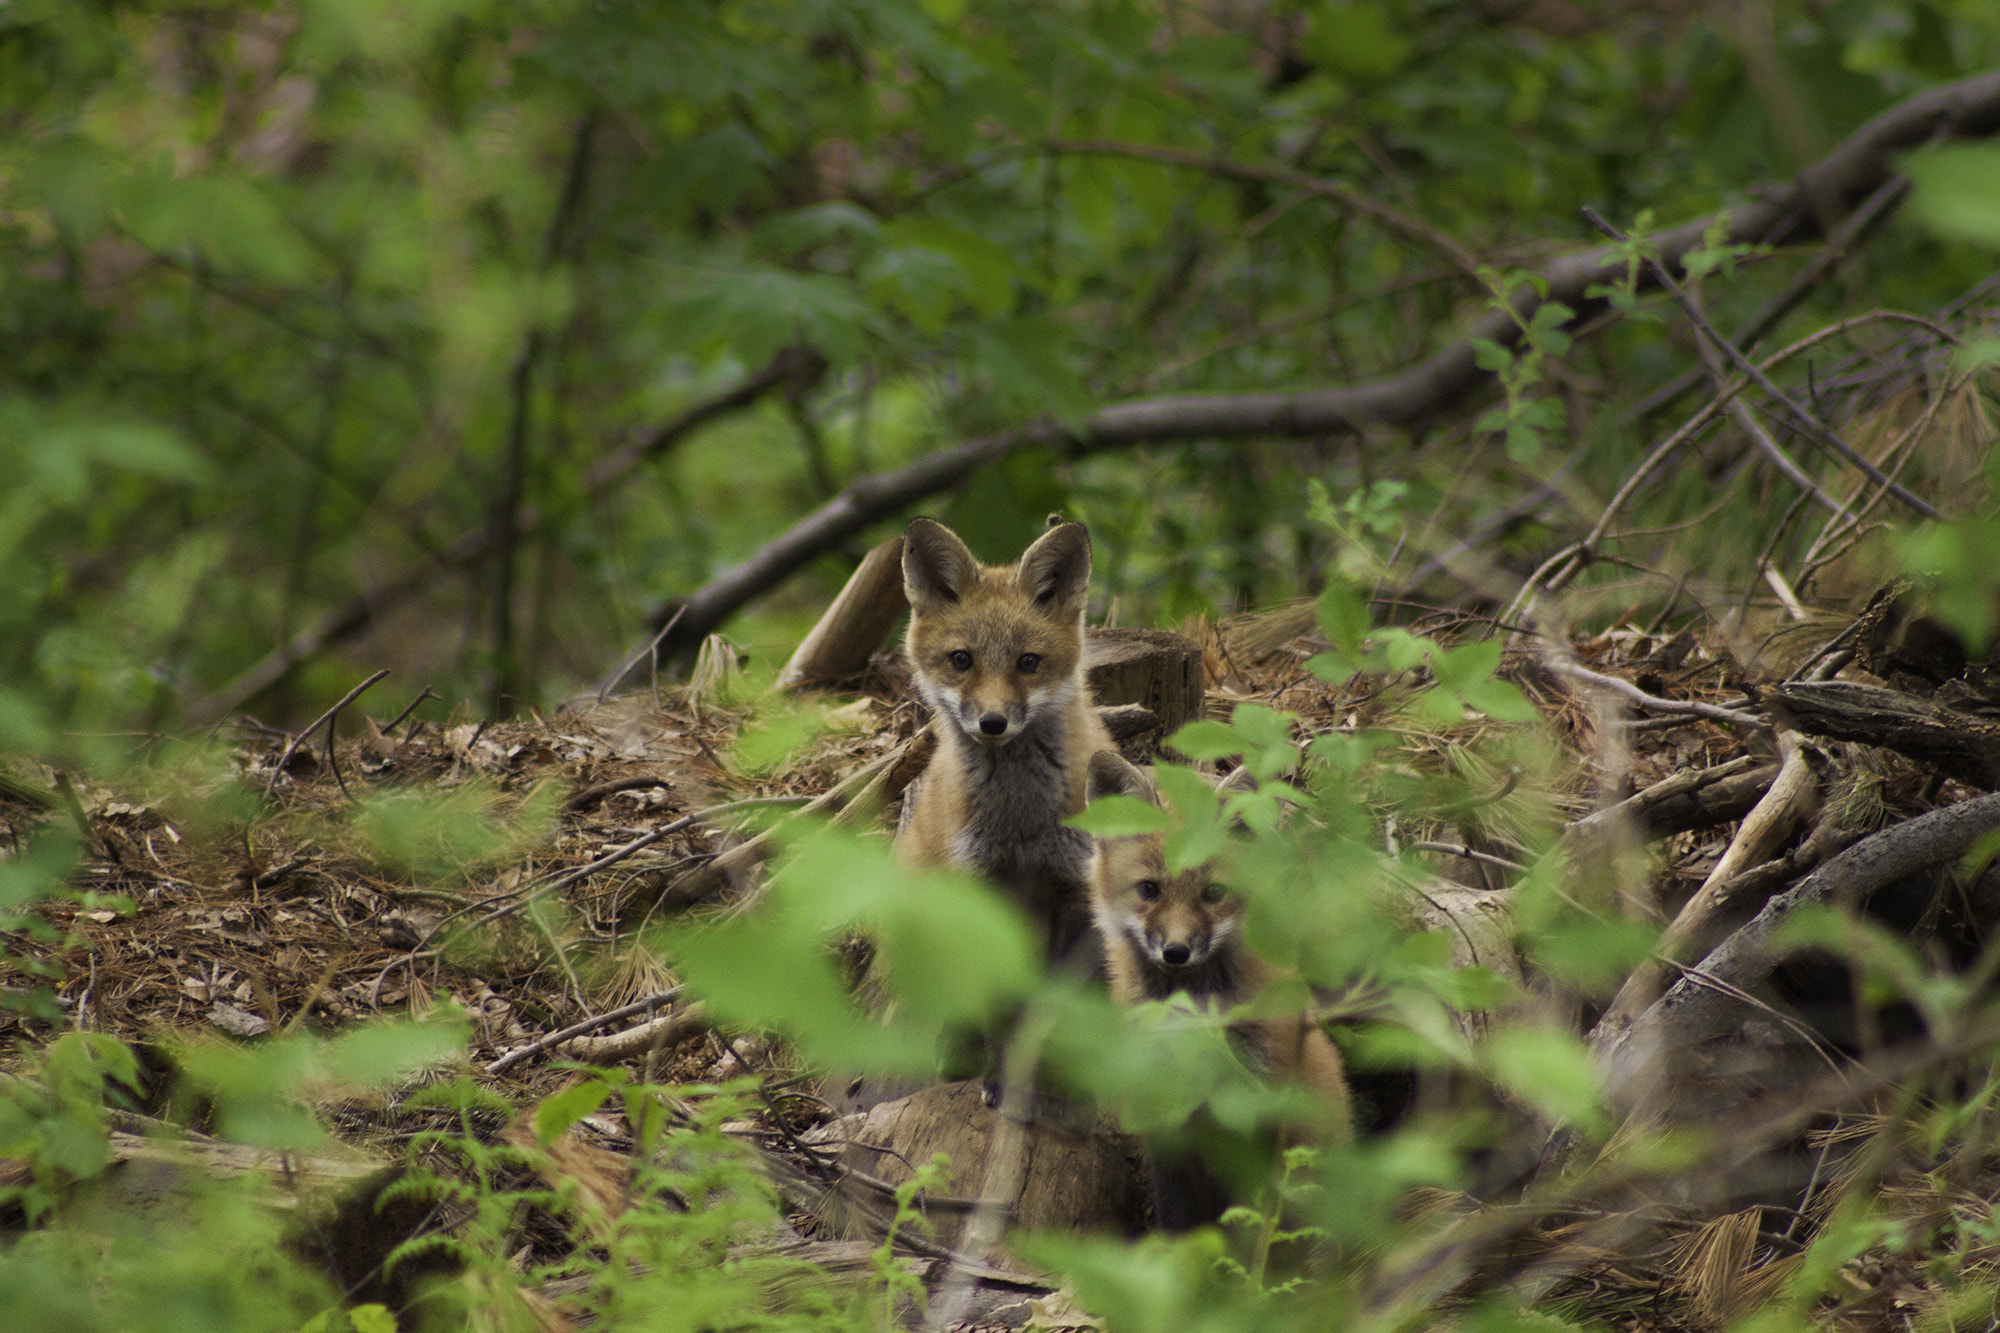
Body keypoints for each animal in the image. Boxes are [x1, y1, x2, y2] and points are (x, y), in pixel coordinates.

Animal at [895, 515, 1113, 965]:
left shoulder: (1075, 881)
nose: (992, 722)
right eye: (961, 659)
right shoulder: (977, 886)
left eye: (1028, 662)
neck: (1021, 821)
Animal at [1084, 749, 1352, 1226]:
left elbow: (1245, 1214)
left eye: (1213, 892)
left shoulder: (1254, 1109)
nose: (1176, 951)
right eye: (1149, 889)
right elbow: (1178, 1214)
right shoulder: (1163, 1111)